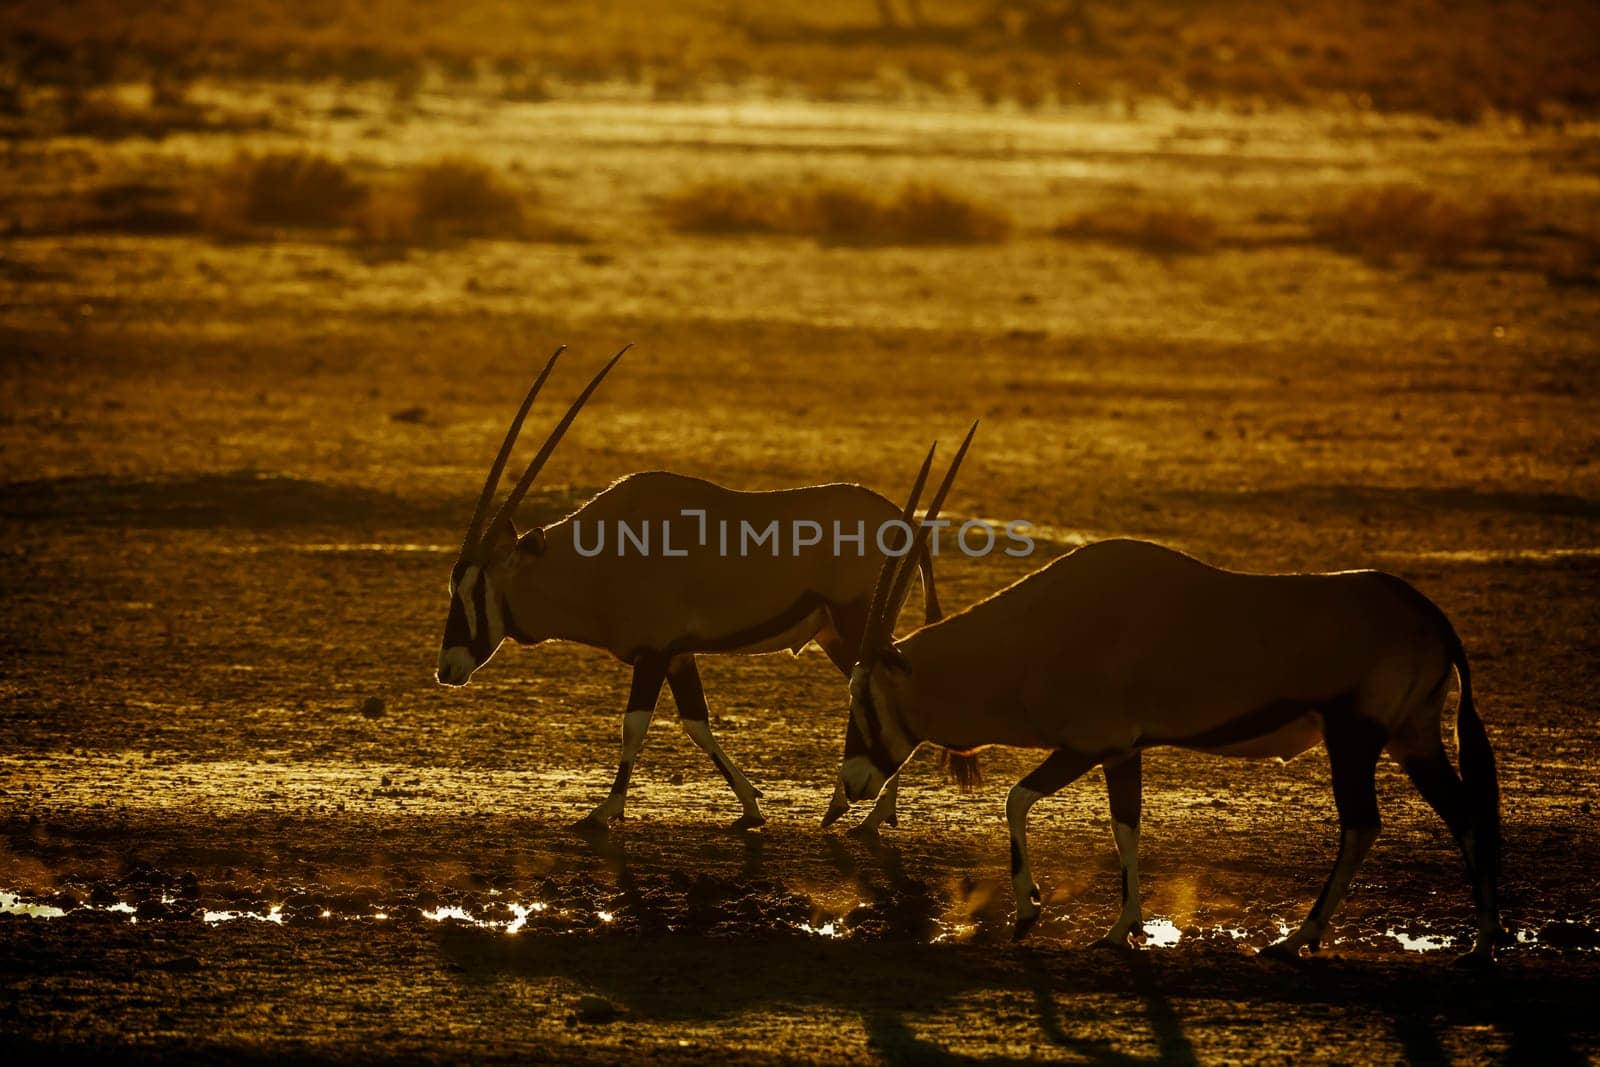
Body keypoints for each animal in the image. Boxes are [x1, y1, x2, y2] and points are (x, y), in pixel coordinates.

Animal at [435, 350, 972, 831]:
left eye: (475, 591)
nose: (446, 669)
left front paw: (604, 813)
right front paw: (751, 808)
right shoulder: (677, 655)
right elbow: (696, 723)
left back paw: (872, 816)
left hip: (853, 622)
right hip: (834, 634)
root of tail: (903, 524)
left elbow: (634, 726)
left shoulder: (654, 653)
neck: (596, 557)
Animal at [832, 441, 1504, 959]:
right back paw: (1483, 944)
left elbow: (1017, 800)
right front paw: (1122, 928)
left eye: (864, 697)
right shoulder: (1123, 751)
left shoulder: (1089, 744)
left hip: (1354, 737)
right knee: (1465, 813)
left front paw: (1030, 909)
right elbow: (1125, 827)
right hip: (1412, 737)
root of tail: (1430, 616)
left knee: (1363, 825)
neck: (1033, 634)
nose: (853, 782)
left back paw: (1297, 939)